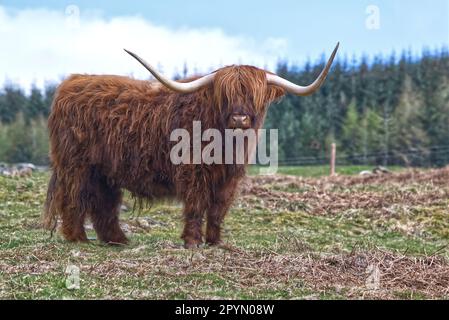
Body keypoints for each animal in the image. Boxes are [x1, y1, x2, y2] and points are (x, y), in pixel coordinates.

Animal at [43, 43, 338, 248]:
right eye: (225, 95)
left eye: (253, 96)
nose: (239, 118)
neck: (225, 144)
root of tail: (72, 82)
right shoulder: (194, 170)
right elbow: (196, 204)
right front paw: (193, 242)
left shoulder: (229, 177)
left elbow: (218, 209)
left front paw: (216, 242)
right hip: (76, 165)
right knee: (74, 197)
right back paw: (78, 237)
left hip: (105, 171)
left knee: (104, 203)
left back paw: (117, 240)